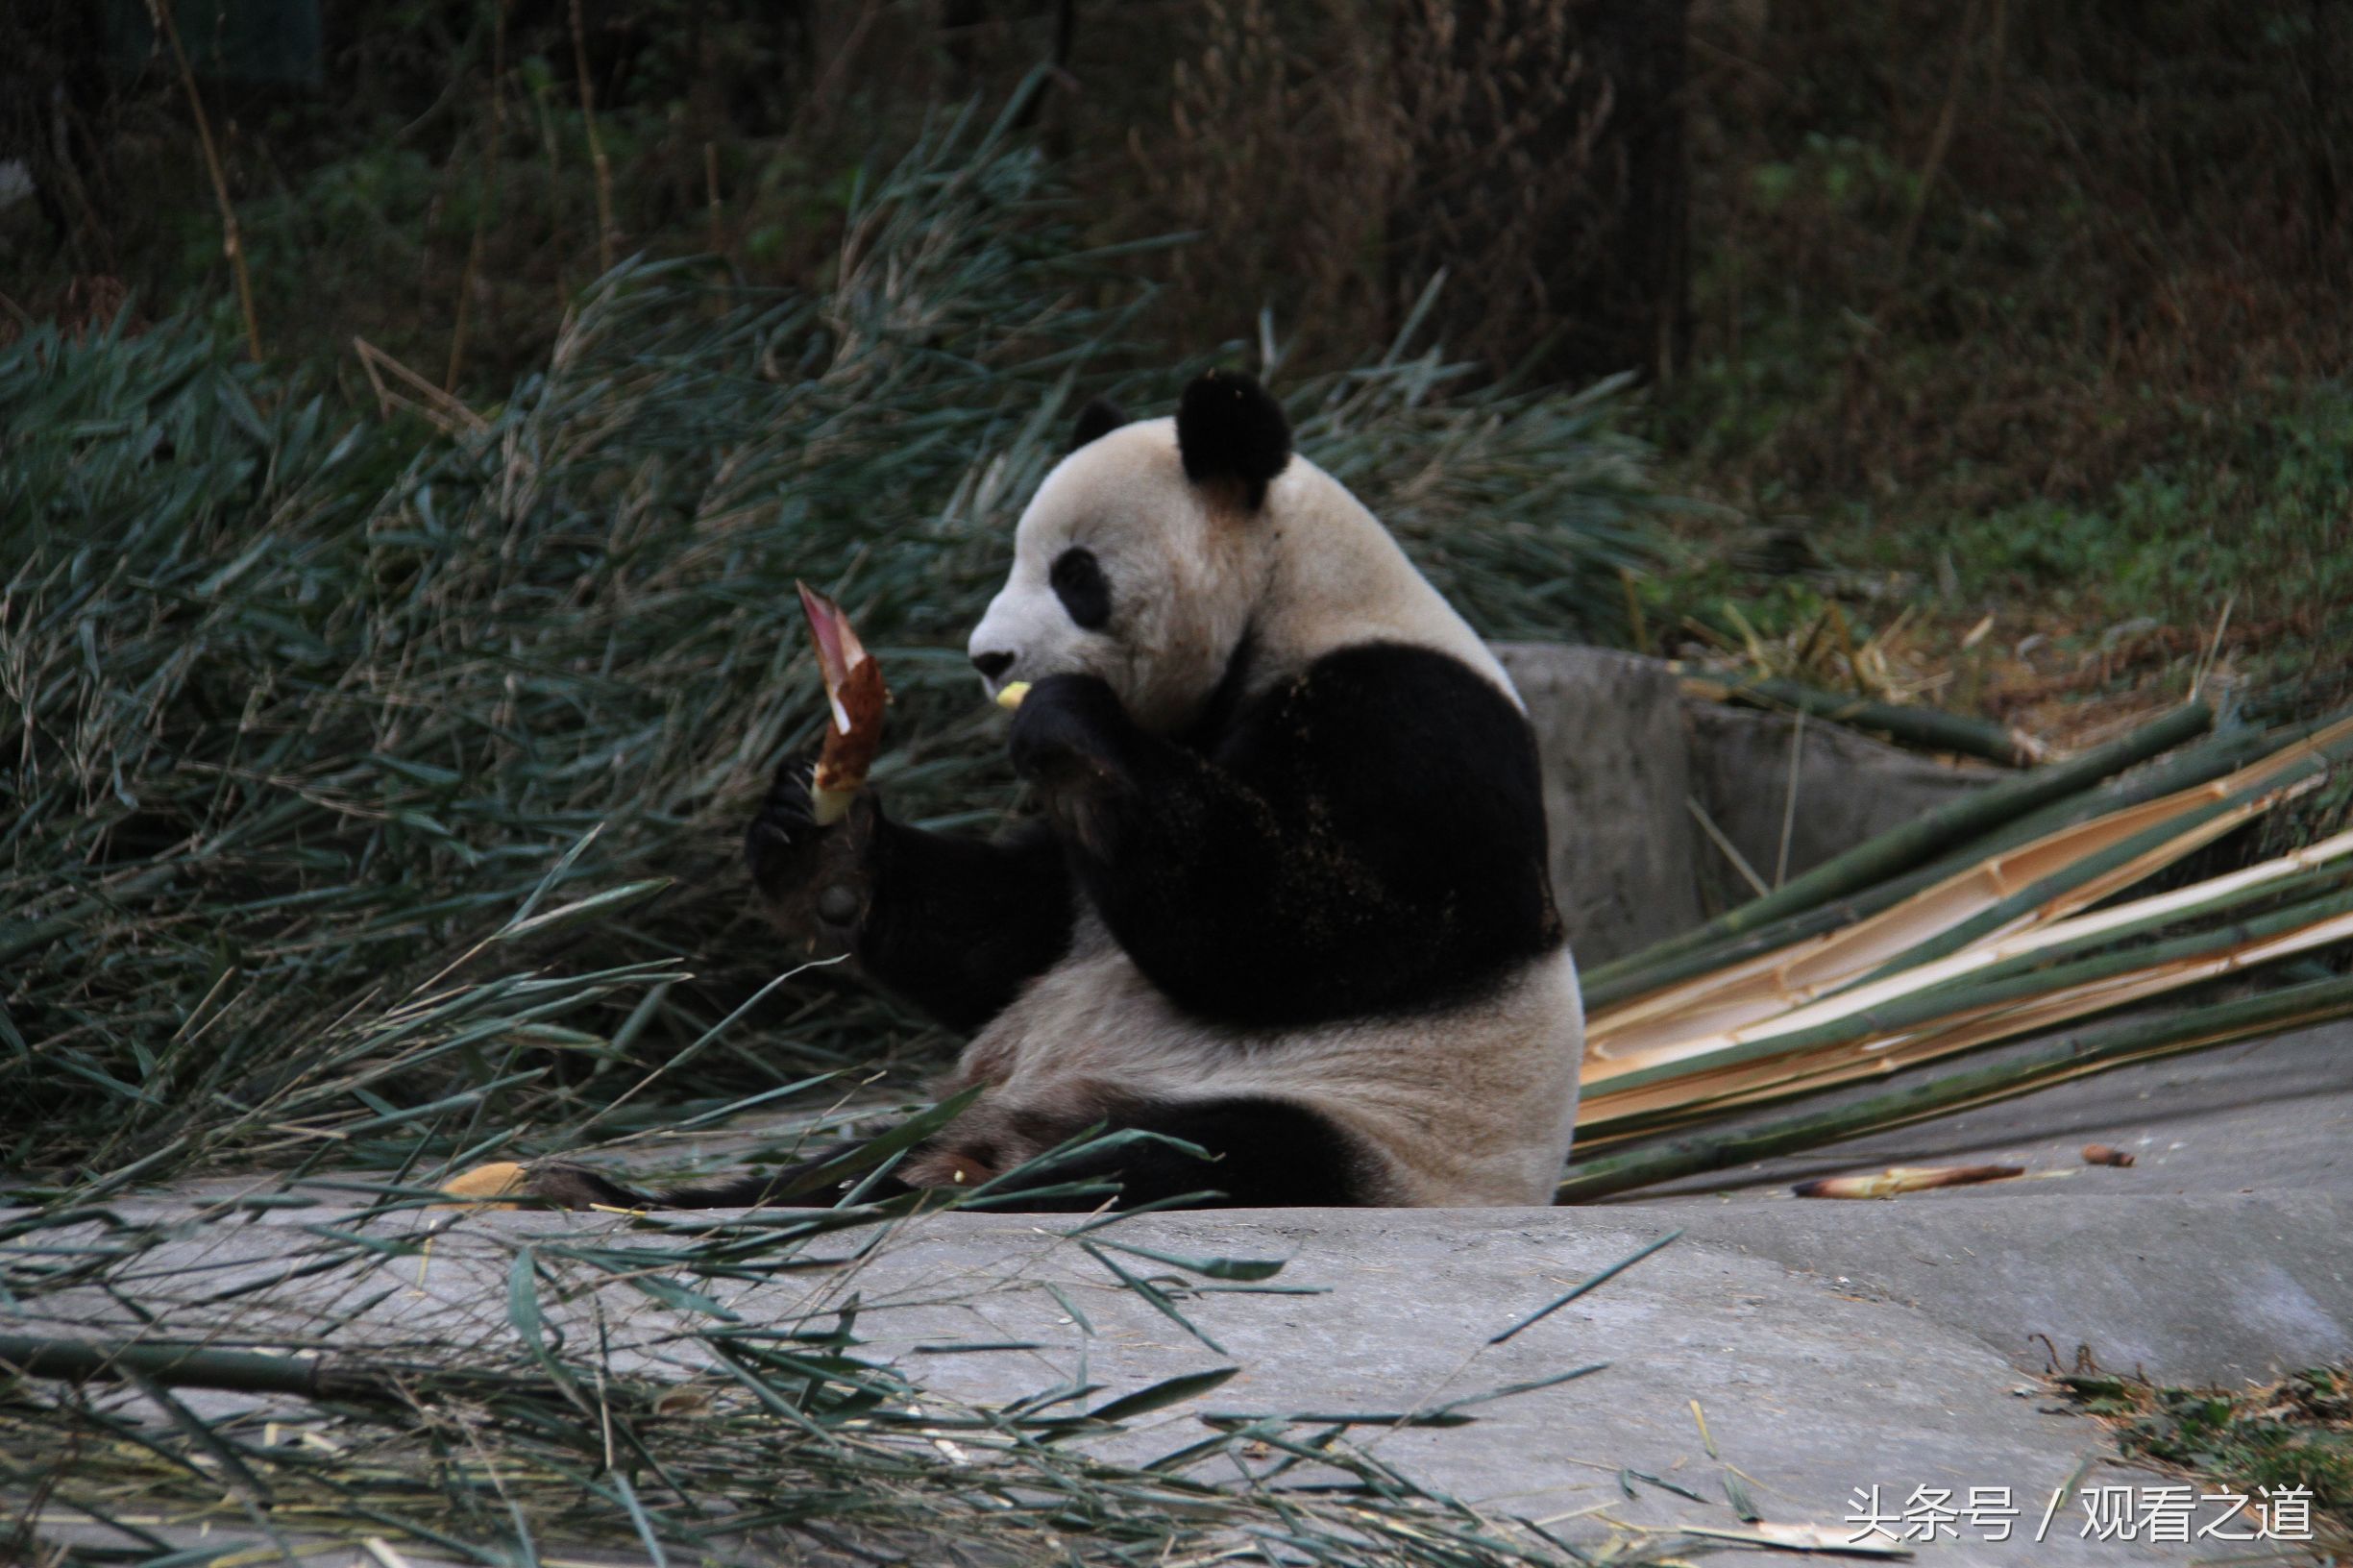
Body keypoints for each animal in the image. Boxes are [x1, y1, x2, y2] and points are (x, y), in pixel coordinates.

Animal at [538, 369, 1581, 1205]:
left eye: (1075, 574)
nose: (987, 657)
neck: (1291, 591)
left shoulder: (1408, 721)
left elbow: (1310, 925)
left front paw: (1070, 730)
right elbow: (1016, 931)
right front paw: (818, 842)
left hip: (1367, 1120)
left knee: (1196, 1156)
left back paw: (983, 1182)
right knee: (842, 1165)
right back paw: (618, 1189)